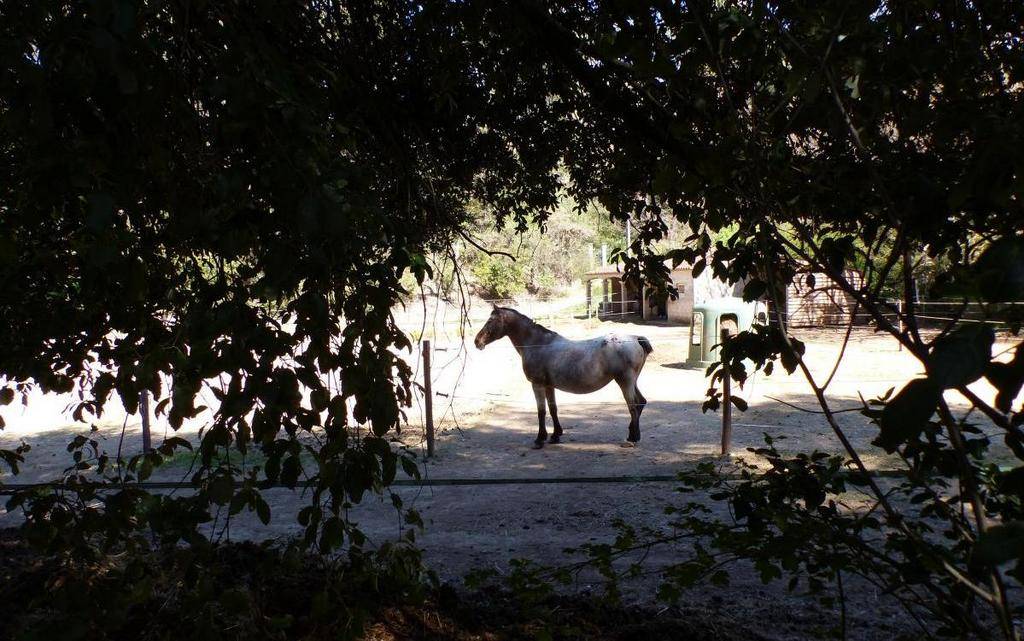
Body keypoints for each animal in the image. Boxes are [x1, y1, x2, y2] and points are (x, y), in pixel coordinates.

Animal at [473, 303, 651, 444]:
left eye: (490, 321)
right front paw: (555, 435)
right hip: (632, 382)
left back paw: (634, 437)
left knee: (633, 406)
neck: (537, 344)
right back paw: (631, 434)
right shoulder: (548, 386)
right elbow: (553, 409)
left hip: (624, 382)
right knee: (641, 402)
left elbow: (541, 411)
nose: (477, 341)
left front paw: (540, 438)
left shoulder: (537, 385)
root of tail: (635, 338)